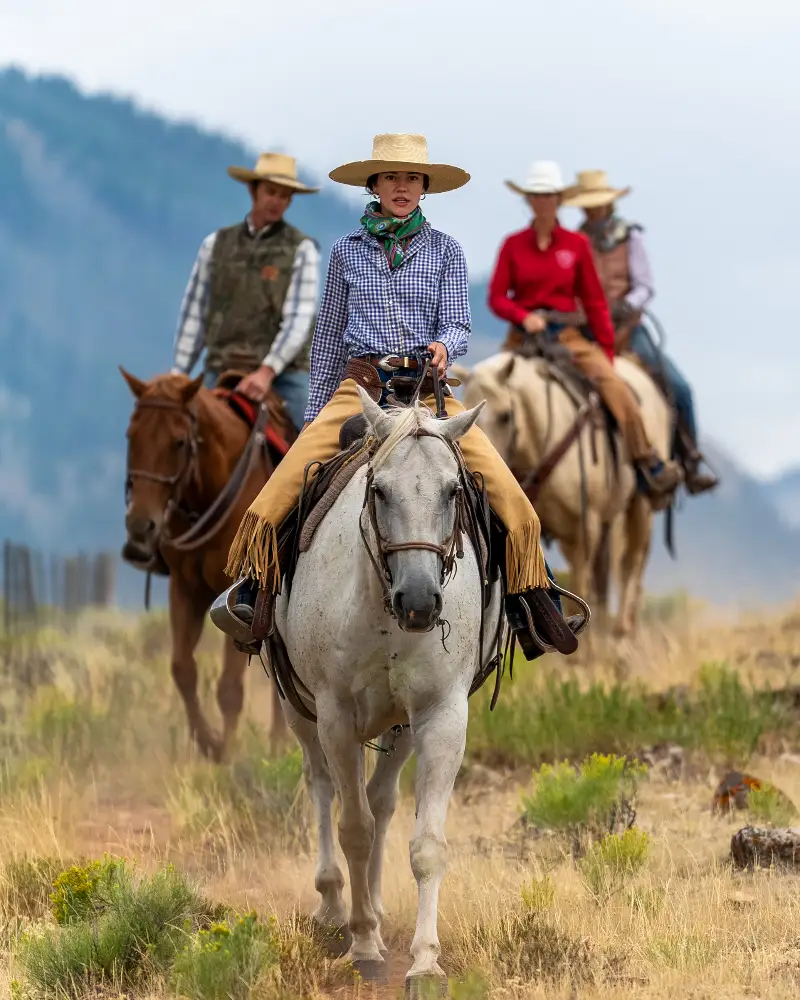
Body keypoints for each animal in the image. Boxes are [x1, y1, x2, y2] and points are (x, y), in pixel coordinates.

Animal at [120, 372, 290, 760]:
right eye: (130, 436)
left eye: (179, 441)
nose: (140, 526)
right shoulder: (185, 589)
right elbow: (183, 669)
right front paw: (209, 743)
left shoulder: (236, 596)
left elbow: (229, 687)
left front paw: (226, 751)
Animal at [216, 390, 504, 992]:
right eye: (379, 491)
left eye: (452, 490)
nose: (418, 600)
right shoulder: (335, 715)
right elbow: (353, 828)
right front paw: (364, 946)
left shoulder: (441, 715)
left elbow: (425, 844)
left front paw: (425, 962)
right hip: (299, 710)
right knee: (324, 788)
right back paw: (334, 907)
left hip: (398, 725)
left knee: (382, 800)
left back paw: (371, 902)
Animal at [454, 352, 672, 632]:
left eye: (505, 415)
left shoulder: (583, 531)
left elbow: (578, 592)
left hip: (639, 509)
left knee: (628, 571)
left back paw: (620, 636)